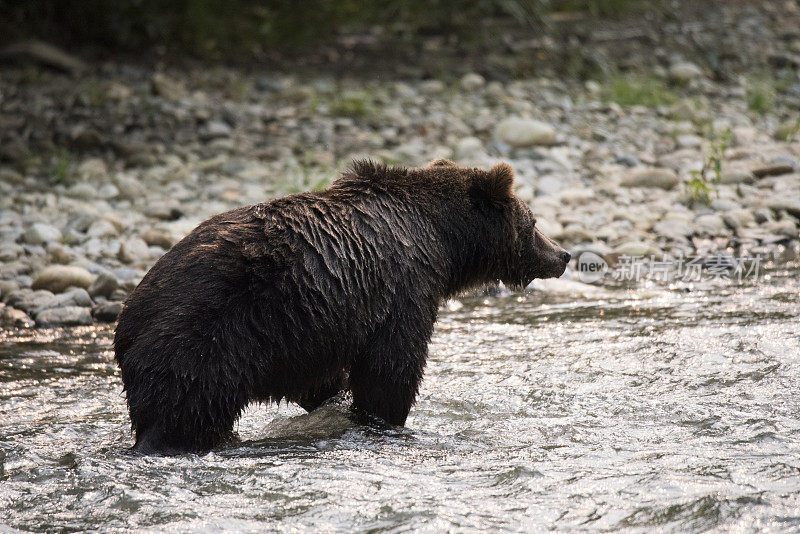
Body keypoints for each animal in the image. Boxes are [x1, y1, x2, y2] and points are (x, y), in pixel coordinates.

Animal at [115, 160, 572, 456]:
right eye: (533, 223)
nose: (563, 254)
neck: (442, 239)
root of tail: (129, 318)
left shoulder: (307, 331)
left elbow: (318, 378)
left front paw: (335, 404)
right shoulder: (404, 289)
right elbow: (391, 369)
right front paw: (387, 421)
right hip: (211, 336)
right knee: (191, 407)